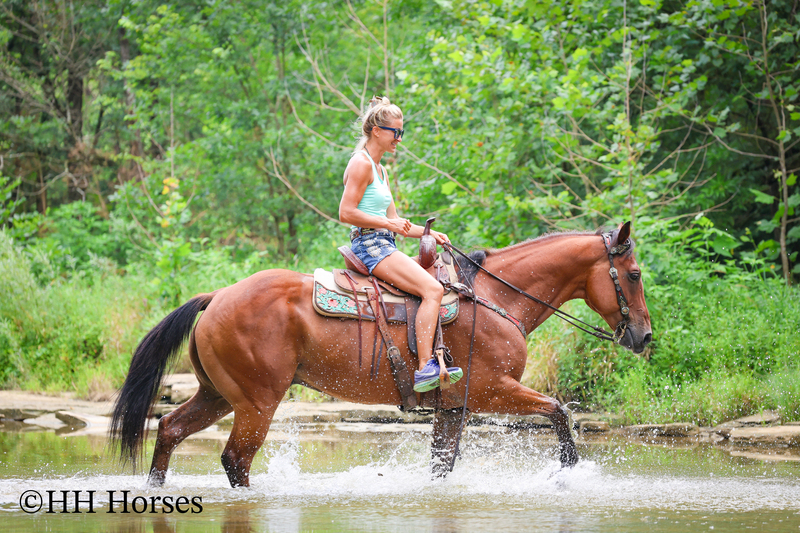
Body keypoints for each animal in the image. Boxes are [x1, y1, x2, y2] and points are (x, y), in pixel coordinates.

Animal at [110, 222, 651, 488]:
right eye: (635, 274)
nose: (644, 337)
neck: (495, 299)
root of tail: (218, 295)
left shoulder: (453, 407)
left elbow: (441, 466)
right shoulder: (493, 391)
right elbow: (559, 411)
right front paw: (568, 471)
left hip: (219, 395)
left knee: (170, 429)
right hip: (257, 403)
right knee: (235, 460)